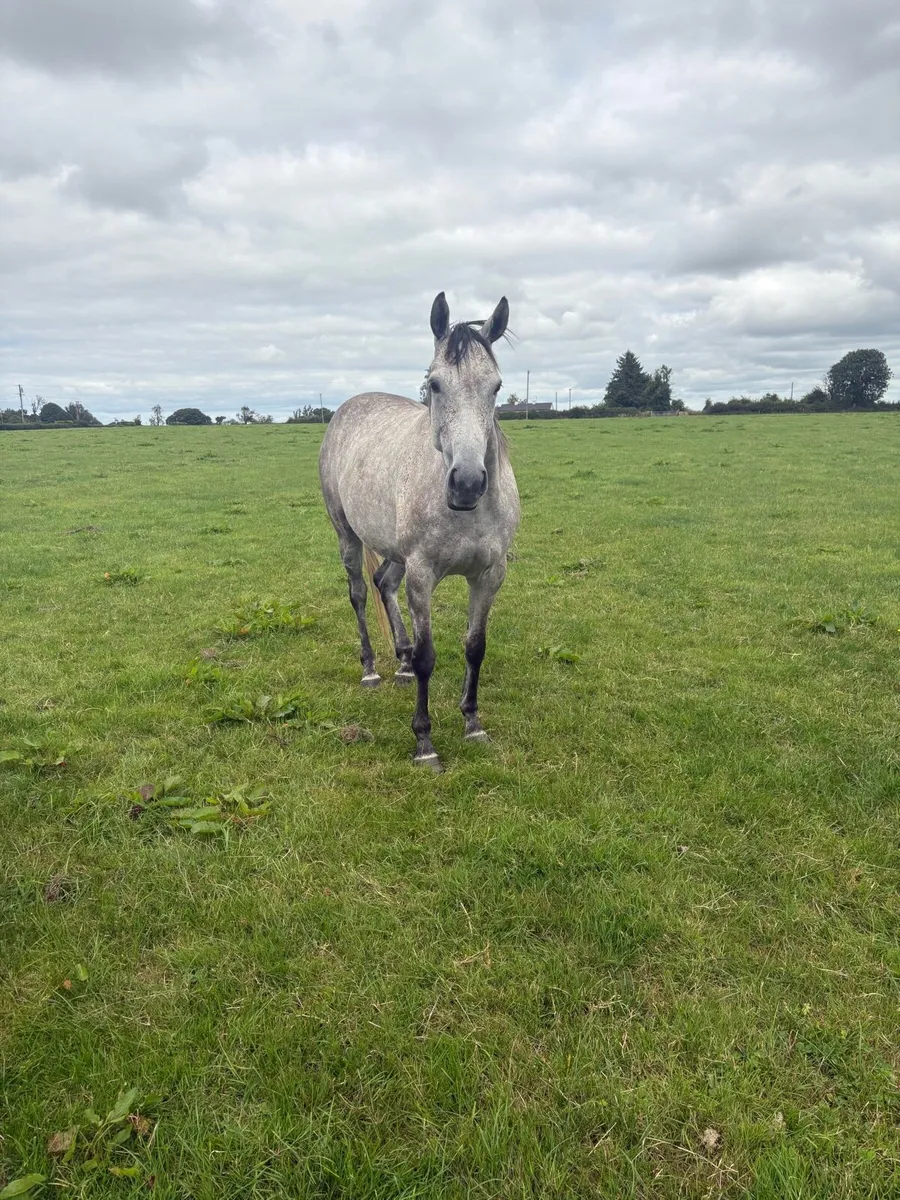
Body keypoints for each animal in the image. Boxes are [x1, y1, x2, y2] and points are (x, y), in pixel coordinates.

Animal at [318, 292, 520, 771]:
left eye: (496, 387)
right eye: (435, 384)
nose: (467, 483)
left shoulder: (489, 576)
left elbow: (475, 646)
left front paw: (473, 723)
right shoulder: (423, 574)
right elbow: (431, 656)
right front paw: (424, 742)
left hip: (394, 553)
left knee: (383, 583)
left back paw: (402, 663)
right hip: (347, 535)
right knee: (359, 593)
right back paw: (372, 669)